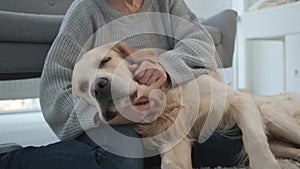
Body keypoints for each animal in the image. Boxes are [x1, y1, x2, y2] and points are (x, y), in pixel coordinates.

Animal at [72, 41, 300, 168]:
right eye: (82, 87)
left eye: (105, 60)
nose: (98, 87)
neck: (165, 99)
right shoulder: (172, 139)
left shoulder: (237, 100)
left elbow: (254, 139)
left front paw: (266, 165)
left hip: (274, 117)